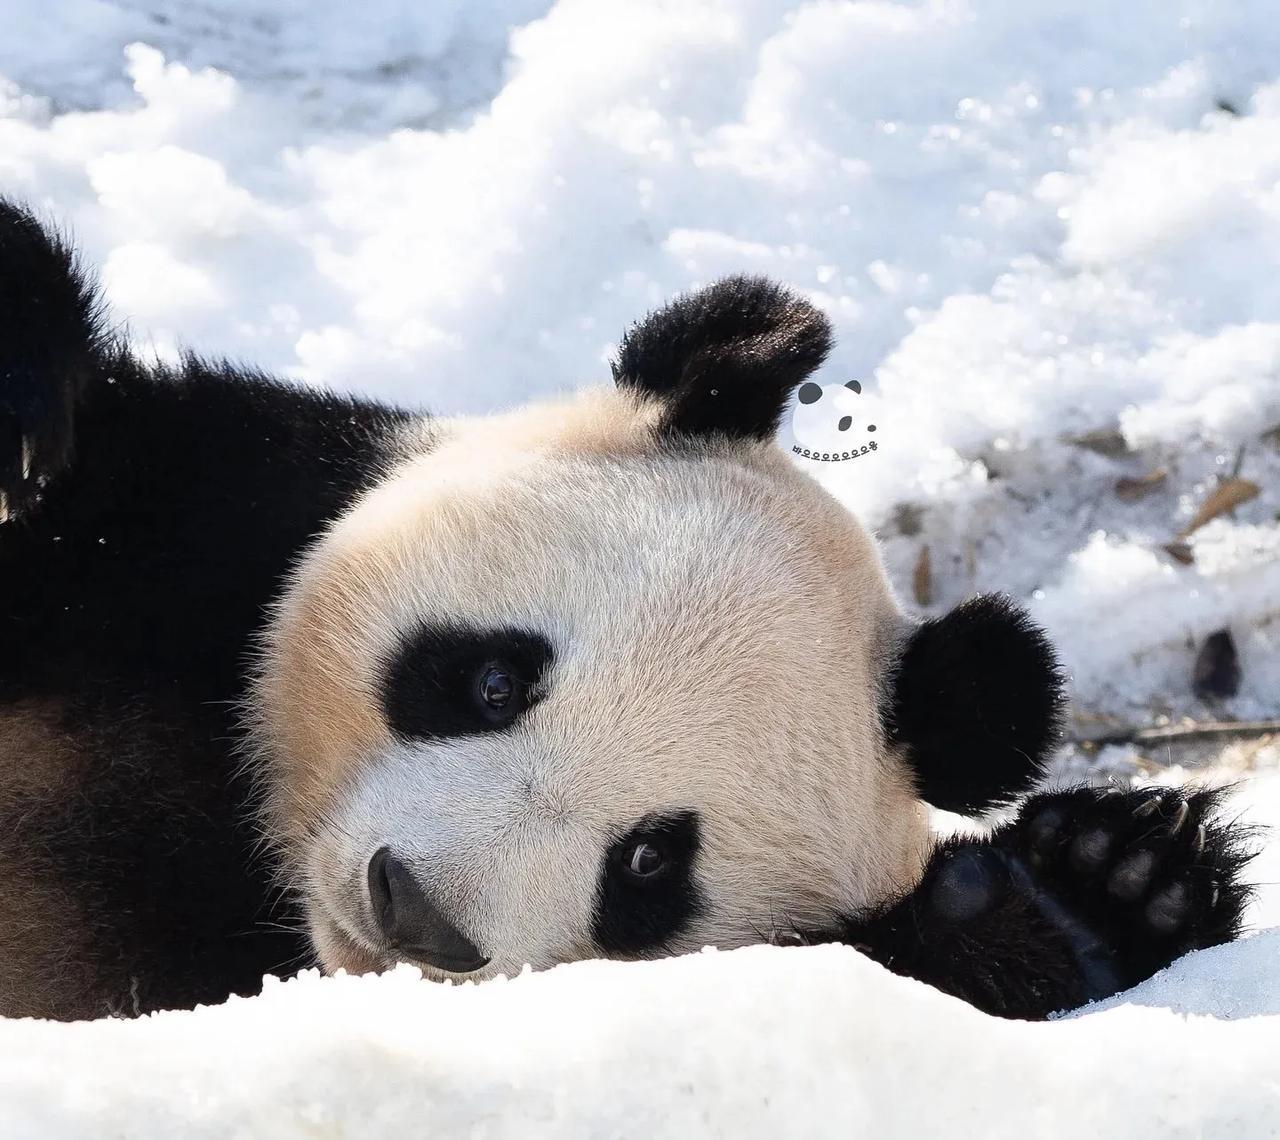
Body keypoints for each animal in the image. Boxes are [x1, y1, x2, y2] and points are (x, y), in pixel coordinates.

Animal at [0, 203, 1249, 1023]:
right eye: (491, 679)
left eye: (649, 862)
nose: (414, 912)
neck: (246, 847)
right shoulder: (203, 516)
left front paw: (1103, 884)